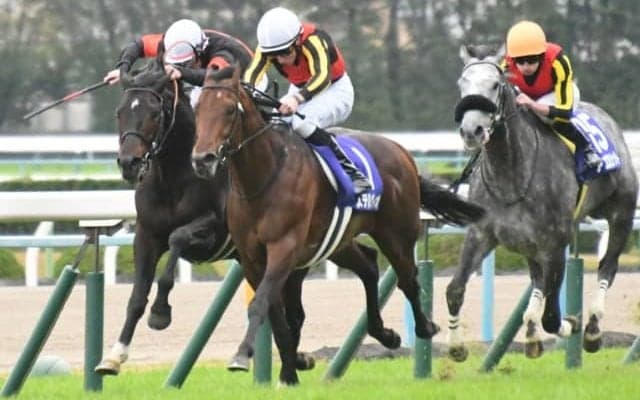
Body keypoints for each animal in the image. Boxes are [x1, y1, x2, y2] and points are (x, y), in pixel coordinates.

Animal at [95, 59, 236, 375]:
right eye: (120, 112)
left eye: (155, 113)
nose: (129, 163)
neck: (173, 176)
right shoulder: (146, 234)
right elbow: (136, 297)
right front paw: (114, 356)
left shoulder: (214, 230)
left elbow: (177, 240)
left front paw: (160, 313)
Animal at [191, 65, 485, 385]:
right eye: (198, 109)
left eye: (230, 110)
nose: (202, 159)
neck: (264, 176)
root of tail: (401, 151)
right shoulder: (251, 258)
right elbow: (274, 312)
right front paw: (289, 373)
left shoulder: (284, 248)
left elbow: (260, 304)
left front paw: (242, 357)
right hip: (336, 242)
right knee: (369, 265)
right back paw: (385, 334)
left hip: (396, 233)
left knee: (408, 278)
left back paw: (428, 329)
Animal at [446, 44, 638, 361]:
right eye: (462, 84)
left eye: (495, 85)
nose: (471, 130)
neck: (510, 173)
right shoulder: (481, 234)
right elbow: (454, 289)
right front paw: (456, 346)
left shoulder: (555, 243)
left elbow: (552, 314)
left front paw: (572, 324)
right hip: (528, 244)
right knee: (537, 279)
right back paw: (532, 333)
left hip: (620, 215)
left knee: (607, 267)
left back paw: (592, 328)